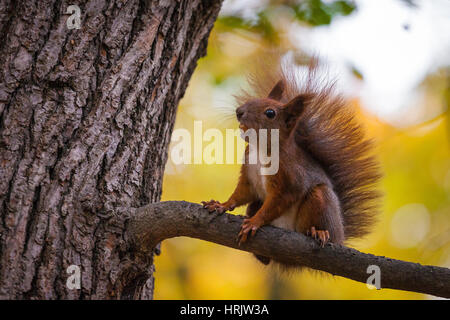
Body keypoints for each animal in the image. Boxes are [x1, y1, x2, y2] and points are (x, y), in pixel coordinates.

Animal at [202, 57, 382, 264]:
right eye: (253, 100)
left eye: (270, 113)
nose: (239, 111)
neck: (260, 149)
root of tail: (341, 234)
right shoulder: (248, 174)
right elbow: (241, 193)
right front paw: (221, 205)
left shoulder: (290, 179)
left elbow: (278, 201)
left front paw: (254, 222)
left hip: (321, 200)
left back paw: (319, 232)